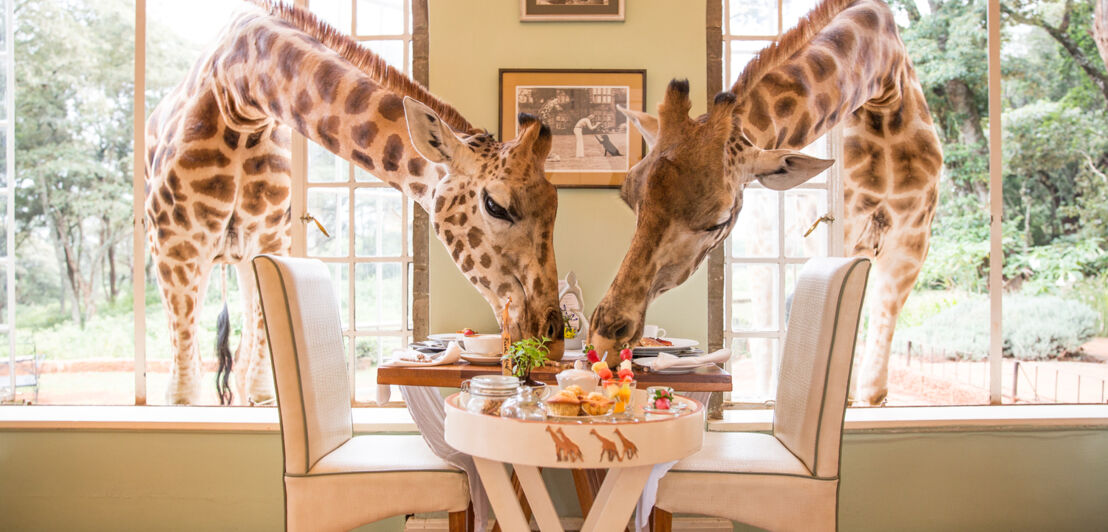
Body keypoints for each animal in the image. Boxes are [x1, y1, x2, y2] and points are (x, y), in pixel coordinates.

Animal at [145, 2, 562, 405]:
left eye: (556, 206)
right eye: (495, 206)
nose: (553, 336)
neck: (240, 94)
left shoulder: (268, 243)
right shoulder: (174, 249)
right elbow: (182, 395)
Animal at [585, 0, 939, 405]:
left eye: (719, 220)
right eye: (630, 198)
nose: (603, 341)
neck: (882, 84)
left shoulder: (910, 240)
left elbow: (873, 386)